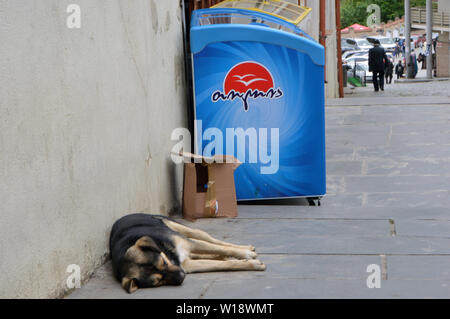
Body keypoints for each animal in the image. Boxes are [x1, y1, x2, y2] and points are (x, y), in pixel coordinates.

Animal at [109, 214, 266, 294]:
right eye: (158, 282)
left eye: (163, 262)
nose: (181, 276)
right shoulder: (186, 264)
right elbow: (222, 264)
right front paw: (247, 263)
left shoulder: (187, 244)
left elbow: (220, 248)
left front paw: (247, 256)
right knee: (210, 253)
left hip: (183, 230)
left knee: (213, 241)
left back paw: (246, 248)